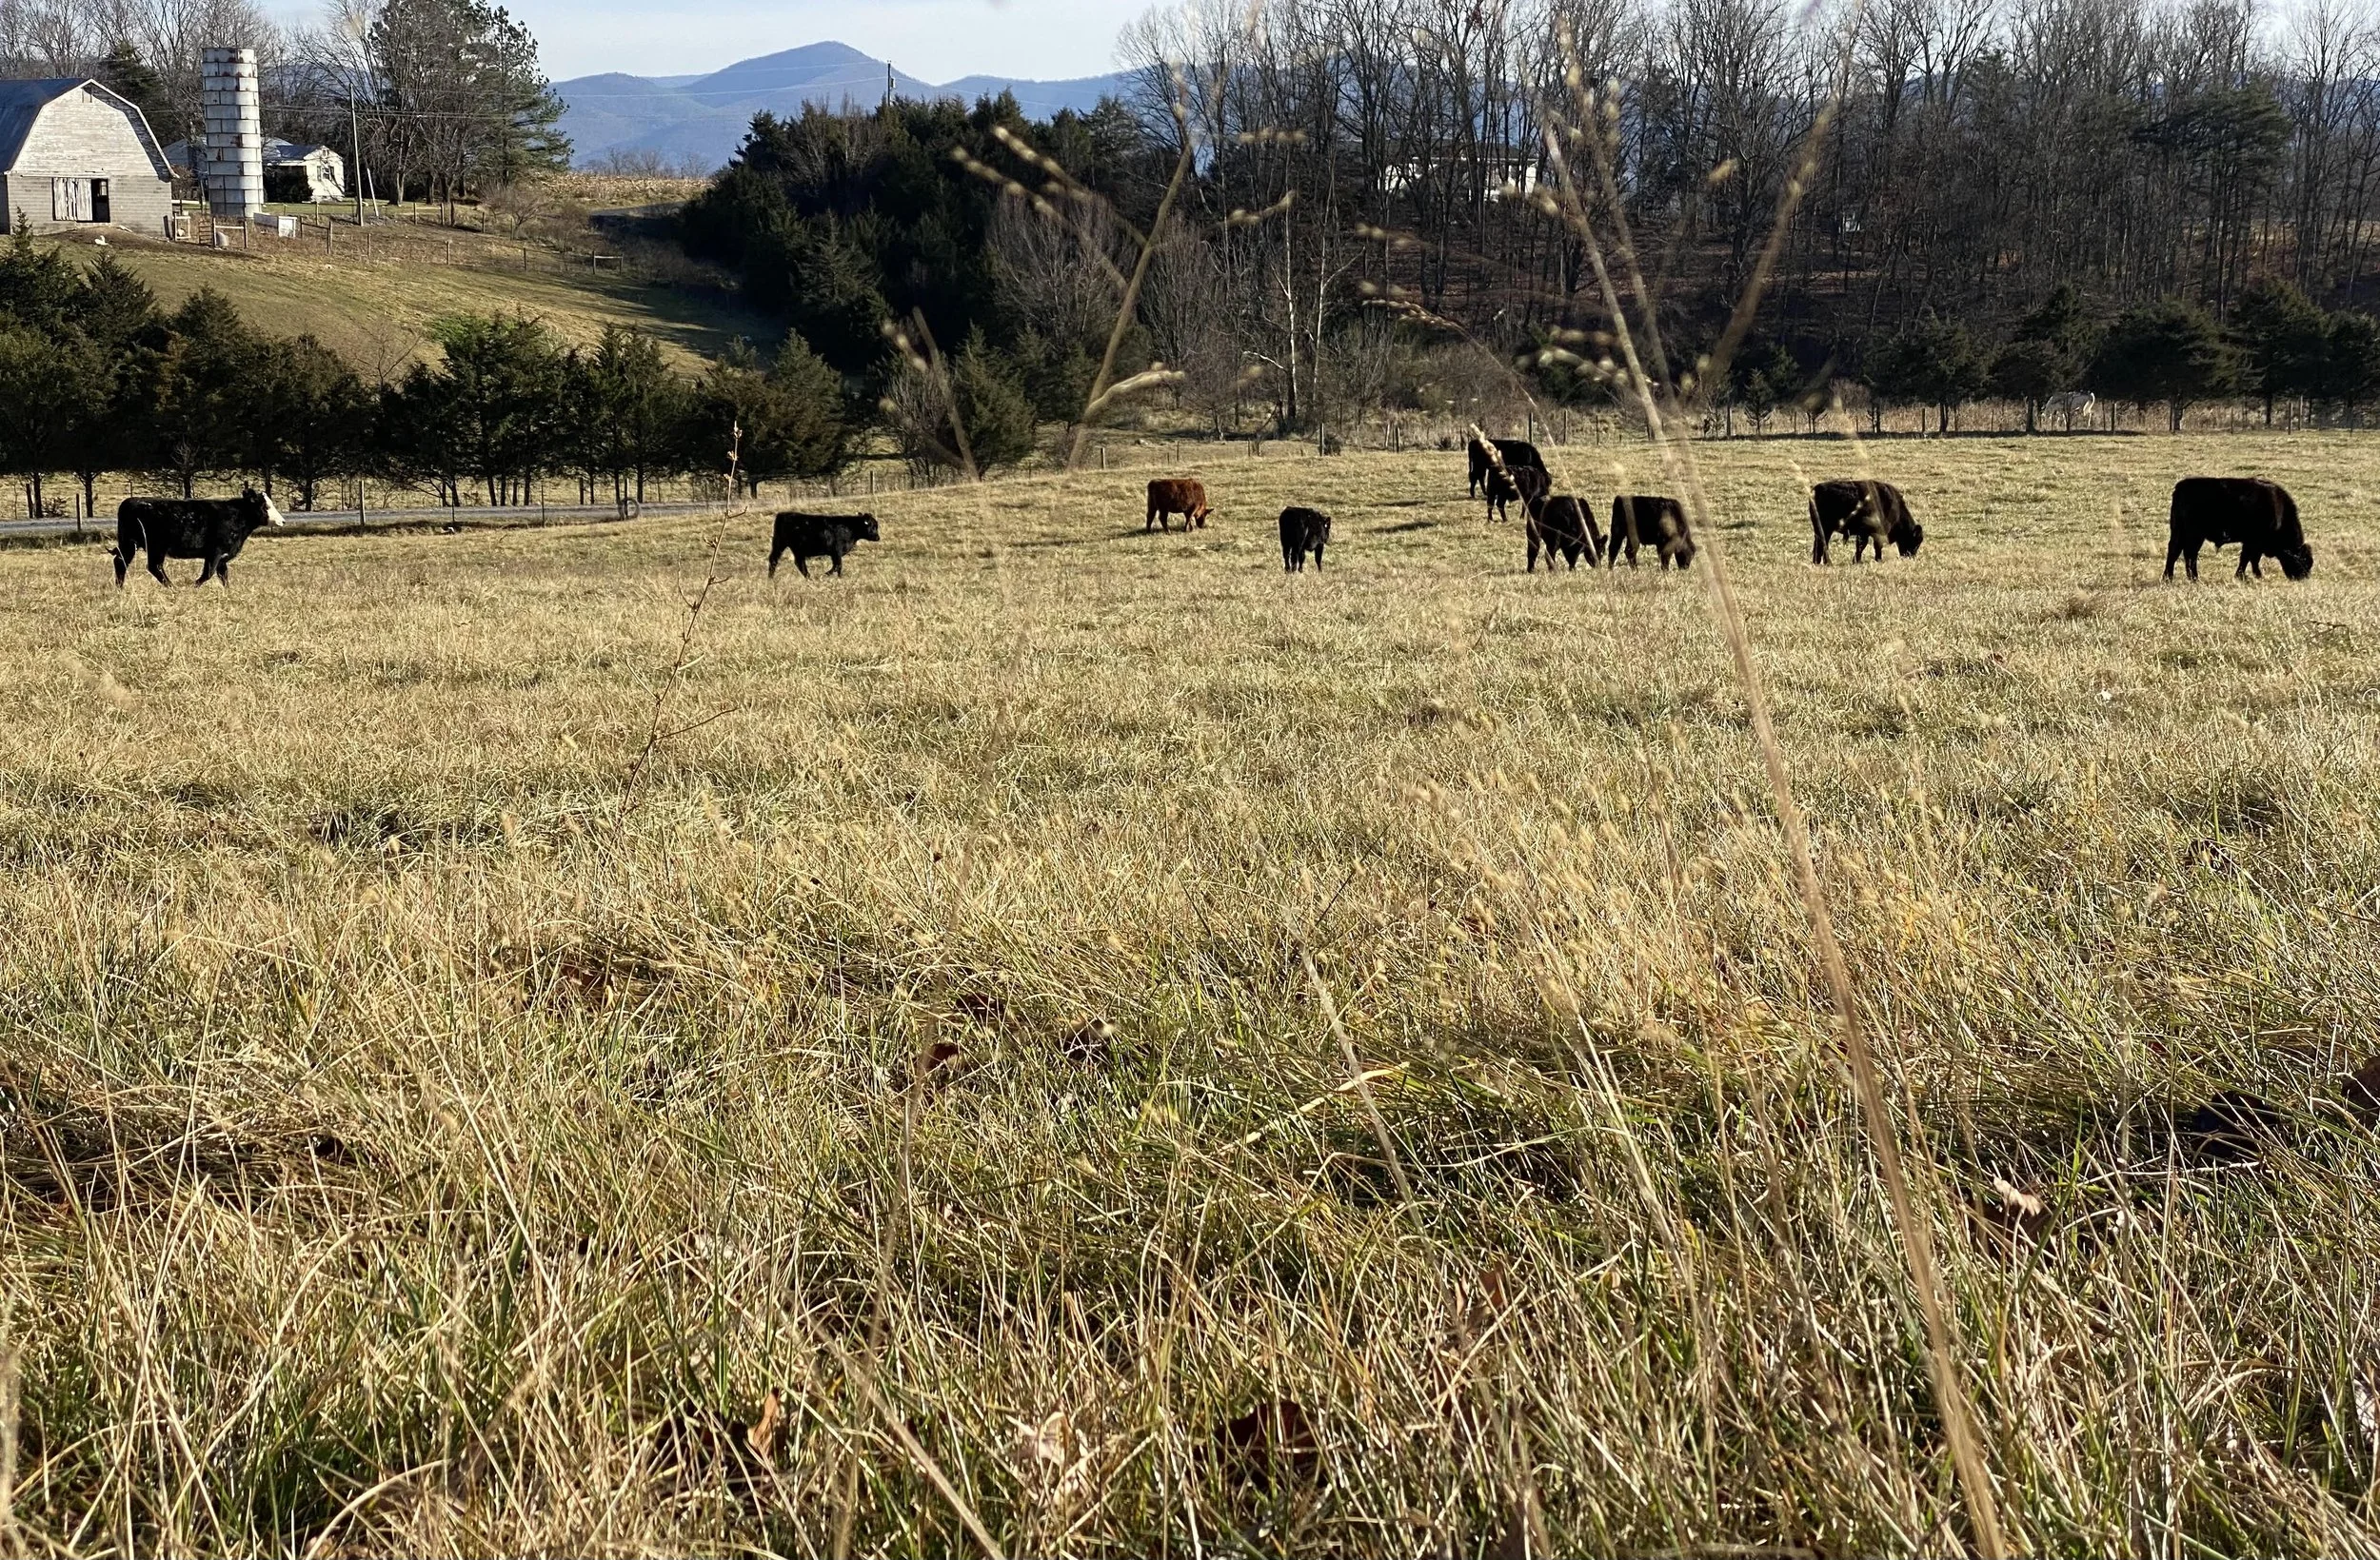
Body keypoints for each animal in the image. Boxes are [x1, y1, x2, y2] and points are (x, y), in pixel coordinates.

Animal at [113, 487, 287, 588]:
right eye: (266, 506)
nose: (283, 521)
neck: (237, 516)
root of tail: (131, 501)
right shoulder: (215, 552)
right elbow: (208, 574)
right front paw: (193, 586)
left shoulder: (222, 556)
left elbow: (223, 575)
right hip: (155, 547)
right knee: (154, 567)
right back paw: (172, 587)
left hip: (130, 545)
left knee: (121, 562)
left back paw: (120, 588)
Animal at [2166, 478, 2313, 582]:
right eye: (2303, 561)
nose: (2303, 577)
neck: (2279, 512)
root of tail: (2180, 487)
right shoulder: (2252, 542)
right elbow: (2248, 558)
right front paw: (2245, 576)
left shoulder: (2253, 544)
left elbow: (2250, 559)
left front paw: (2253, 575)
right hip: (2194, 535)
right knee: (2188, 553)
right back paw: (2190, 578)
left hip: (2181, 533)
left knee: (2178, 552)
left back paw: (2173, 578)